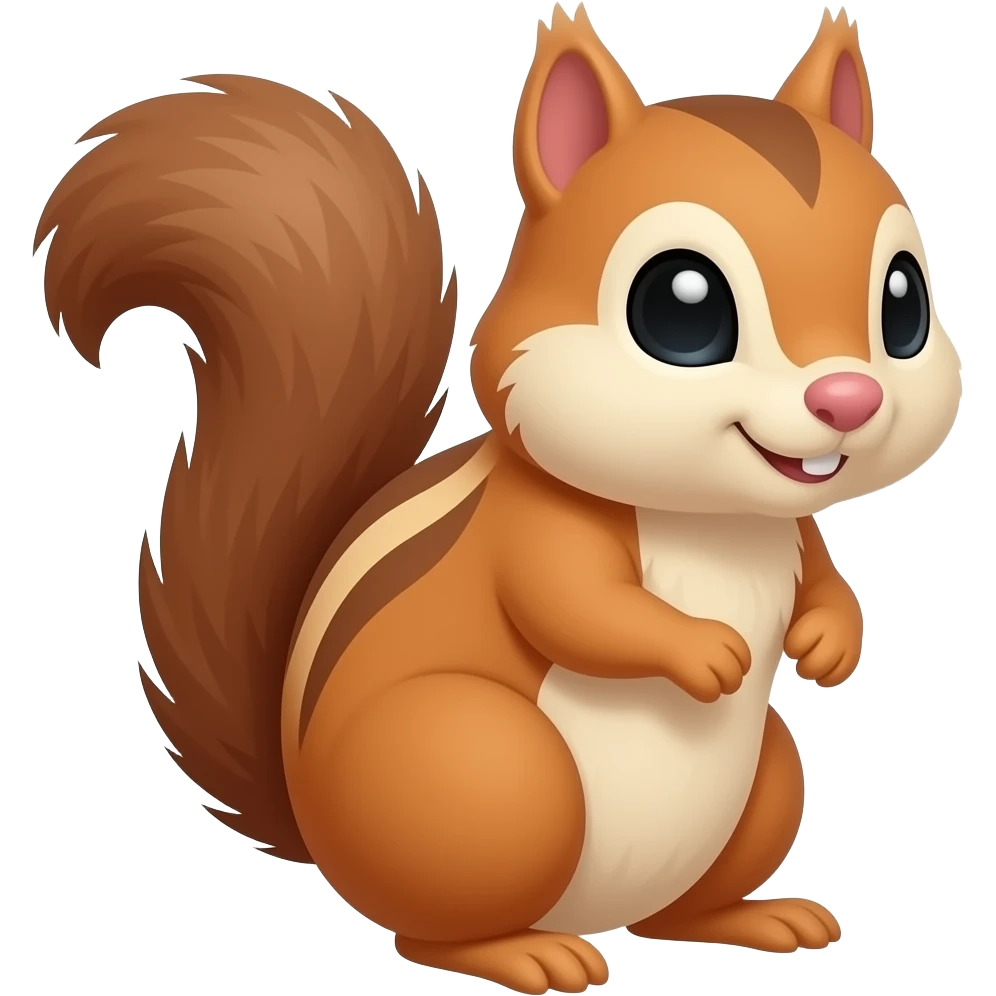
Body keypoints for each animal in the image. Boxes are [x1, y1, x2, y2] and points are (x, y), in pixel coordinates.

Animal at [34, 5, 962, 994]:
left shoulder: (792, 529)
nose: (848, 400)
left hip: (767, 782)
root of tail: (317, 835)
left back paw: (754, 916)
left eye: (905, 300)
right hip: (490, 771)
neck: (707, 519)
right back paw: (526, 953)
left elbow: (826, 585)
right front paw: (706, 652)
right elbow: (580, 607)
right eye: (683, 309)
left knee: (675, 912)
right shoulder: (540, 533)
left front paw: (829, 645)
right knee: (430, 931)